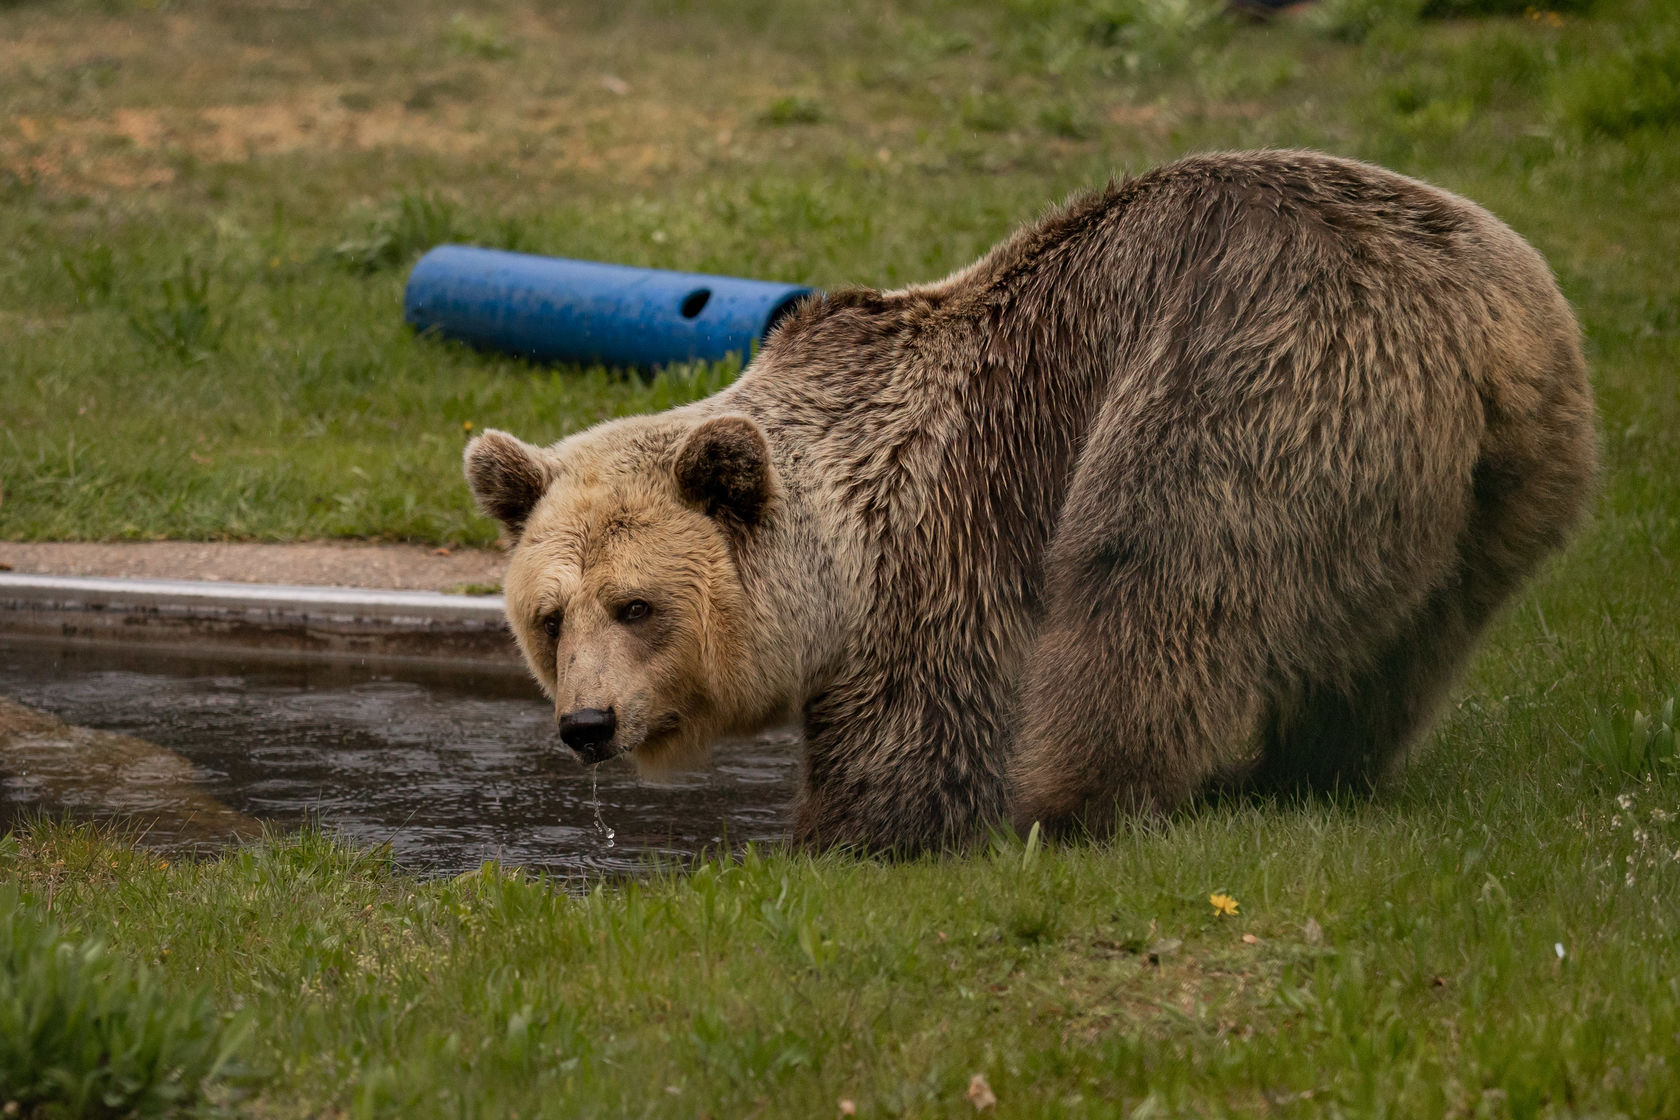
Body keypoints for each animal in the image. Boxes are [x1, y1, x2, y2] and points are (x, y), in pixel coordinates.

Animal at [467, 146, 1592, 849]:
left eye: (638, 605)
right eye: (550, 615)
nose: (589, 723)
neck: (836, 553)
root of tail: (1483, 336)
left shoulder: (939, 538)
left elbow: (917, 739)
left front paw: (852, 837)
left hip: (1245, 379)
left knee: (1145, 593)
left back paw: (1069, 804)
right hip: (1510, 484)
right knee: (1405, 647)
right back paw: (1301, 769)